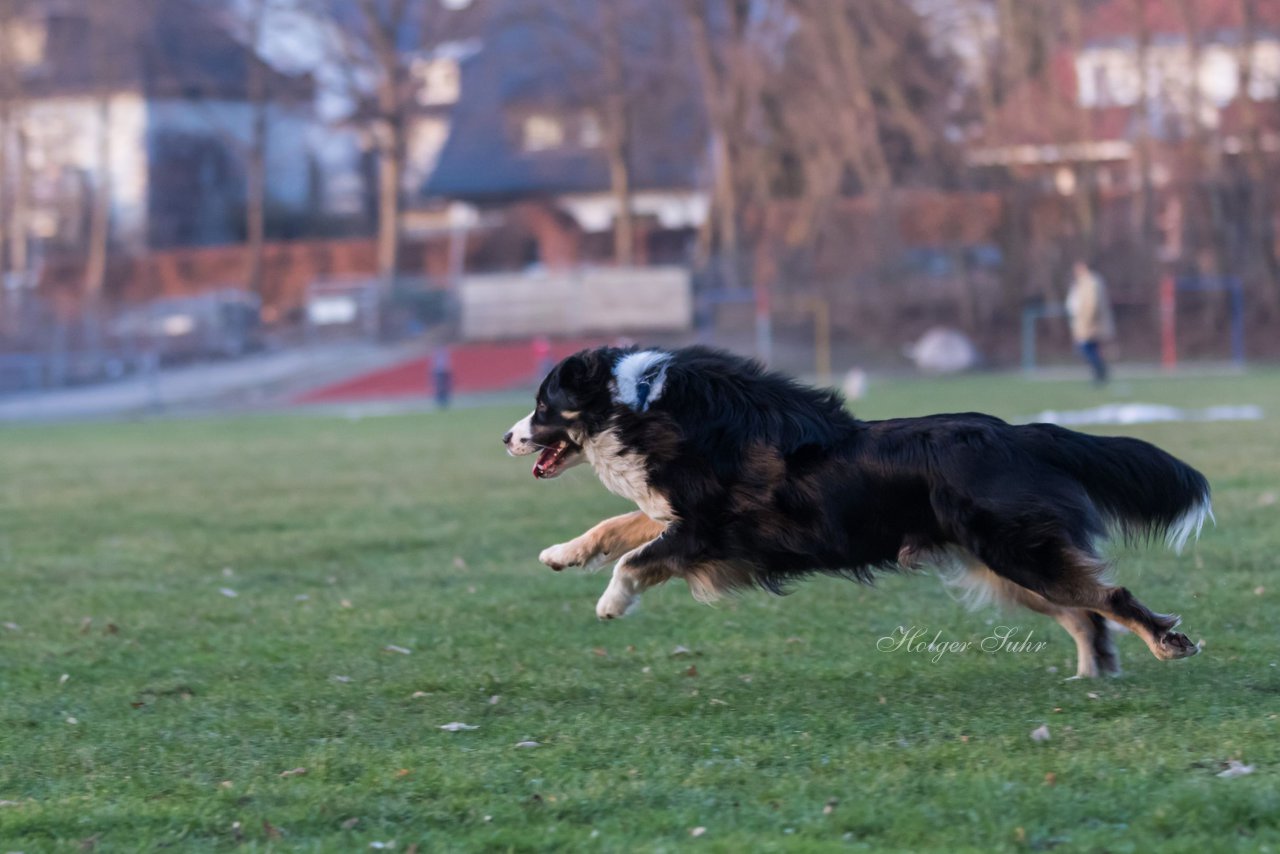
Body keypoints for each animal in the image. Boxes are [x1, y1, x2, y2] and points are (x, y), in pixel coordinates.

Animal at [501, 343, 1208, 676]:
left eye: (542, 406)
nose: (505, 437)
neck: (639, 406)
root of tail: (1020, 433)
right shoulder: (676, 513)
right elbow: (615, 526)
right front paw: (560, 554)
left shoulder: (712, 531)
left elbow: (638, 558)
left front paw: (610, 604)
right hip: (1008, 566)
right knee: (1085, 613)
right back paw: (1092, 677)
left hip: (1018, 553)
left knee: (1109, 596)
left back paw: (1166, 643)